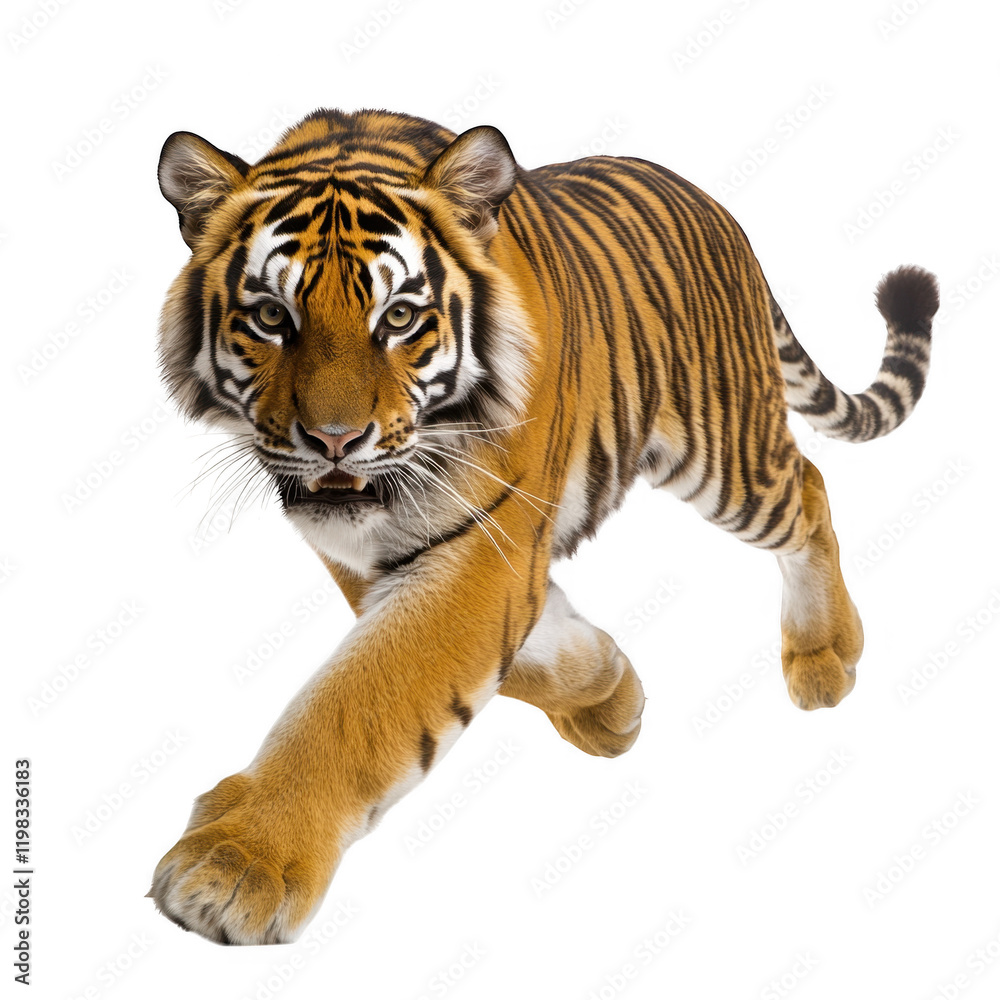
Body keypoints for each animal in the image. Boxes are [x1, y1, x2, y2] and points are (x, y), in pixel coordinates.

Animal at [148, 107, 939, 945]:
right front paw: (611, 694)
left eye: (399, 318)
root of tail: (711, 203)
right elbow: (514, 650)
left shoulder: (486, 543)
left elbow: (364, 697)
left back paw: (824, 655)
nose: (334, 441)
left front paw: (239, 863)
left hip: (724, 453)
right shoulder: (370, 551)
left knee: (809, 490)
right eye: (271, 316)